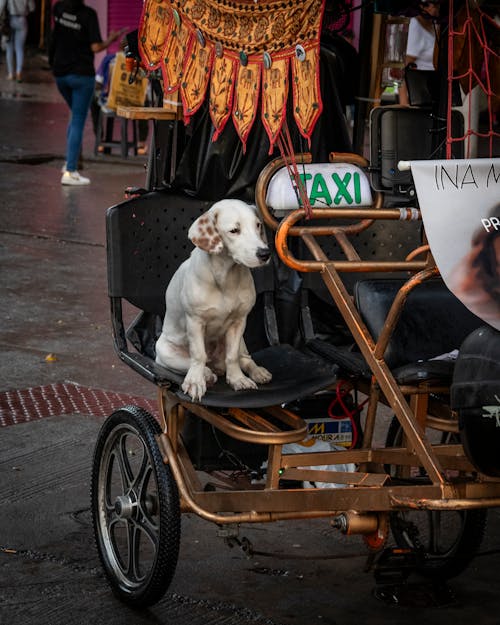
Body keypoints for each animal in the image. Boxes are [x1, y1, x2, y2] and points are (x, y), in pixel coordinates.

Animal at [156, 202, 274, 402]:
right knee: (195, 363)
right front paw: (195, 382)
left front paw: (237, 379)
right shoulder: (195, 321)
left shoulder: (239, 322)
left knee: (244, 358)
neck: (226, 277)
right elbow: (198, 355)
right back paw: (206, 374)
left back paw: (257, 371)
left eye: (258, 225)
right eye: (234, 230)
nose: (265, 253)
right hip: (163, 351)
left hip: (241, 341)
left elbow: (232, 356)